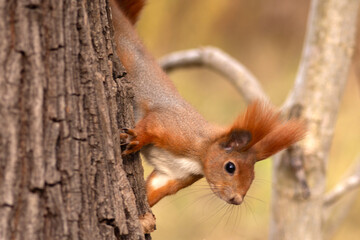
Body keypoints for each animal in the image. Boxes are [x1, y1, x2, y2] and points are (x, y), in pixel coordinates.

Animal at [109, 0, 304, 207]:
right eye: (230, 167)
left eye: (252, 175)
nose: (237, 199)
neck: (199, 153)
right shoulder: (172, 125)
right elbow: (151, 125)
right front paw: (136, 138)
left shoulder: (173, 175)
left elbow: (154, 191)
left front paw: (144, 214)